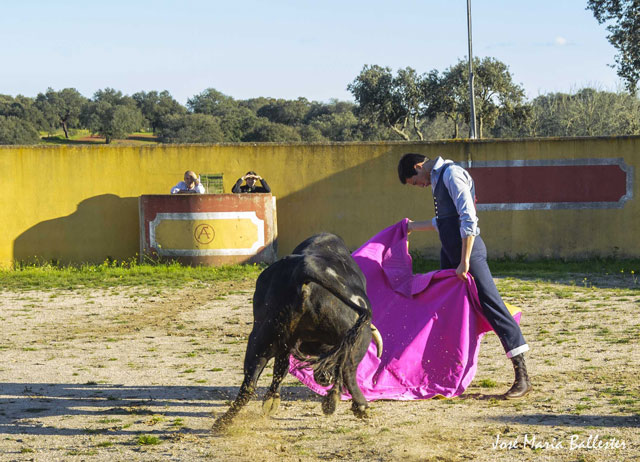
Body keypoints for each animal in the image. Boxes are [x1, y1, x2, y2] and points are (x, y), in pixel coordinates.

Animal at [215, 233, 382, 432]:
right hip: (360, 335)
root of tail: (305, 271)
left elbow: (282, 368)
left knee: (249, 383)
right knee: (348, 367)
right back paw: (357, 406)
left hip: (262, 337)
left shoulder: (284, 342)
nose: (324, 378)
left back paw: (223, 422)